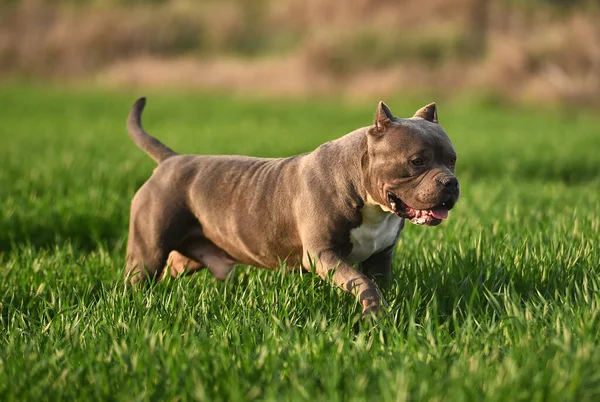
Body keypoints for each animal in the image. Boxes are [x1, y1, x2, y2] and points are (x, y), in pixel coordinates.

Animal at [123, 98, 460, 318]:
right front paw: (374, 315)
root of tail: (170, 160)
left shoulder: (381, 257)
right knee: (137, 276)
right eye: (417, 161)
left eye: (453, 160)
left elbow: (377, 284)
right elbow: (364, 285)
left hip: (186, 258)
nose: (451, 182)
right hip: (147, 252)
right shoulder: (324, 255)